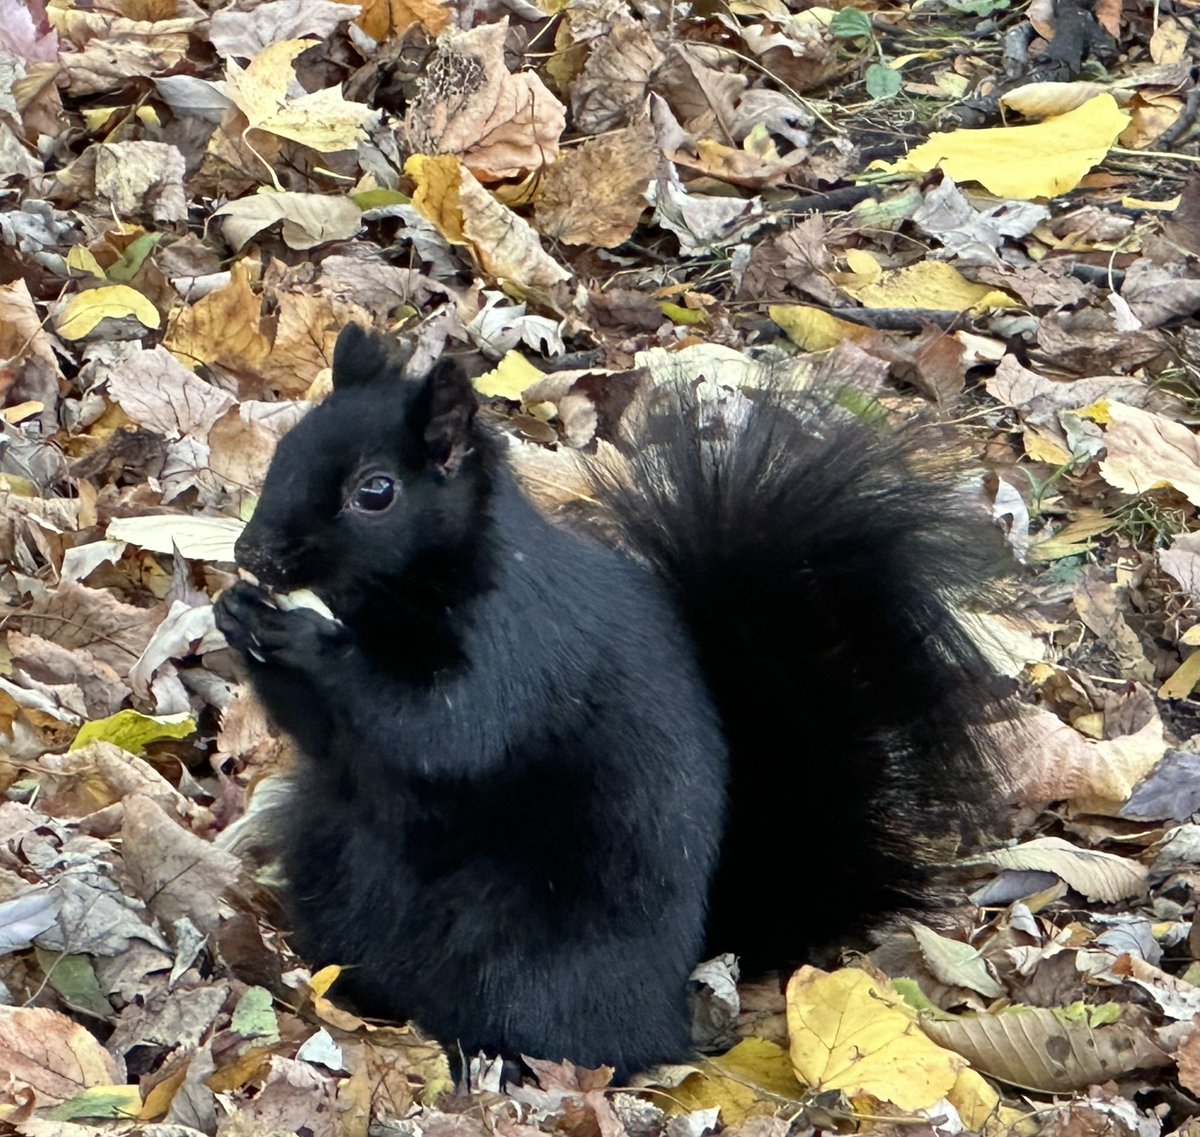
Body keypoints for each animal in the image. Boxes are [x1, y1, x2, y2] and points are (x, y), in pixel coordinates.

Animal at [214, 324, 1010, 1080]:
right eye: (284, 449)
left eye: (375, 492)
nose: (252, 554)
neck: (400, 601)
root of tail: (674, 990)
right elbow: (333, 736)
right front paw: (235, 612)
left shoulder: (517, 651)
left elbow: (443, 730)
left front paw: (300, 634)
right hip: (334, 867)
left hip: (535, 954)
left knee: (570, 1033)